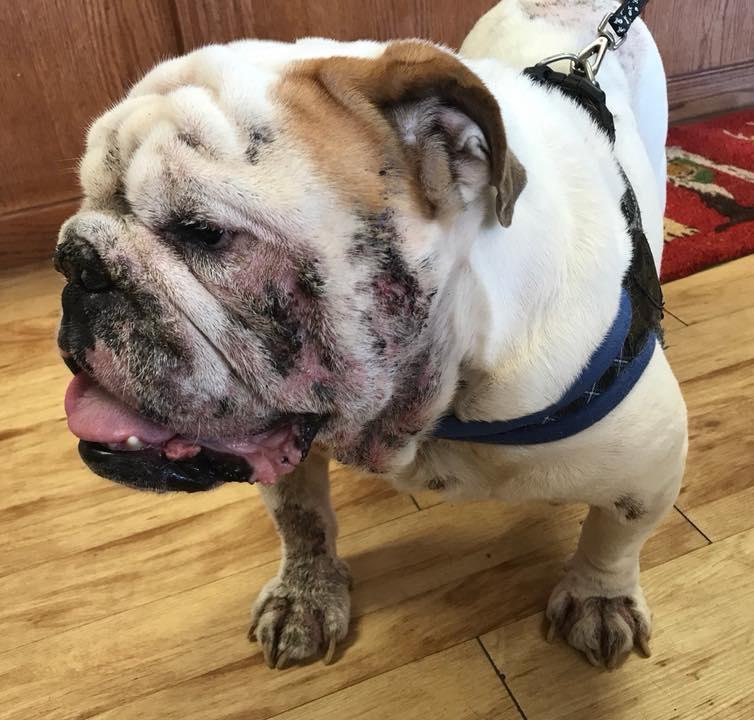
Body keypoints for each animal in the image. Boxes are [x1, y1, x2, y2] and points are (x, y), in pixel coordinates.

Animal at [55, 0, 686, 671]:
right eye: (87, 198)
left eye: (203, 233)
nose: (75, 262)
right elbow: (300, 517)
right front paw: (306, 595)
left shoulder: (651, 461)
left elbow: (615, 536)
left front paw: (600, 599)